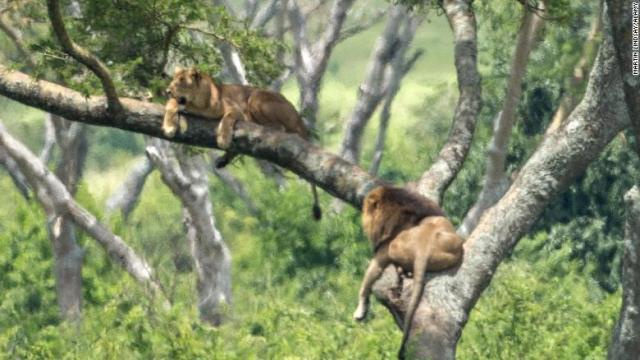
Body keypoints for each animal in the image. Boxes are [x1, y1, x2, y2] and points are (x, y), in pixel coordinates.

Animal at [160, 67, 320, 219]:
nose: (167, 91)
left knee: (280, 128)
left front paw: (223, 138)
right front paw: (169, 127)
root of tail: (299, 118)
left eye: (181, 81)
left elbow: (227, 119)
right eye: (173, 80)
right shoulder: (180, 104)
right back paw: (223, 160)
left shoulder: (236, 110)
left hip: (256, 97)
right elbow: (170, 104)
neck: (198, 104)